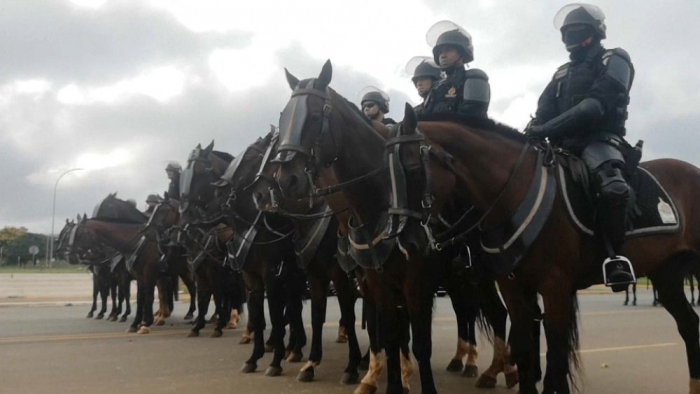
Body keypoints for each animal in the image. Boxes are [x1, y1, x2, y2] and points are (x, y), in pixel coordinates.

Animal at [388, 104, 700, 394]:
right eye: (386, 176)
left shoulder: (555, 287)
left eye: (412, 169)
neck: (513, 193)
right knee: (689, 325)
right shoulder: (514, 287)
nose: (406, 242)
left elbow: (556, 356)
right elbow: (526, 350)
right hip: (667, 276)